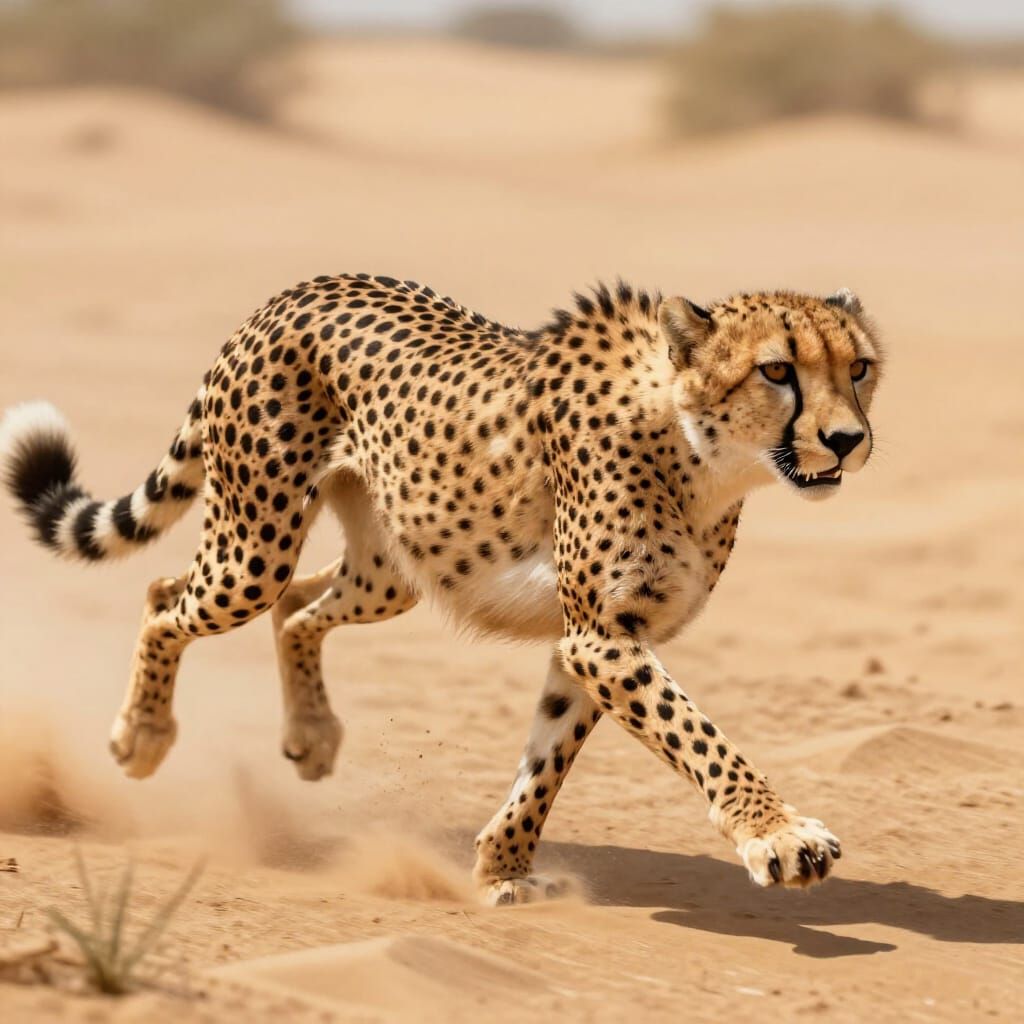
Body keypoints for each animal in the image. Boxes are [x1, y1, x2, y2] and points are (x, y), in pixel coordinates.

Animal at [0, 274, 883, 905]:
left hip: (394, 565)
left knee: (298, 608)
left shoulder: (595, 640)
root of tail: (300, 287)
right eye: (778, 370)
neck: (701, 454)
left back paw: (311, 733)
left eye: (860, 368)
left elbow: (548, 758)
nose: (848, 440)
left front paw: (502, 870)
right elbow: (696, 734)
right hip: (252, 549)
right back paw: (142, 737)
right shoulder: (601, 636)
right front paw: (777, 835)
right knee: (166, 596)